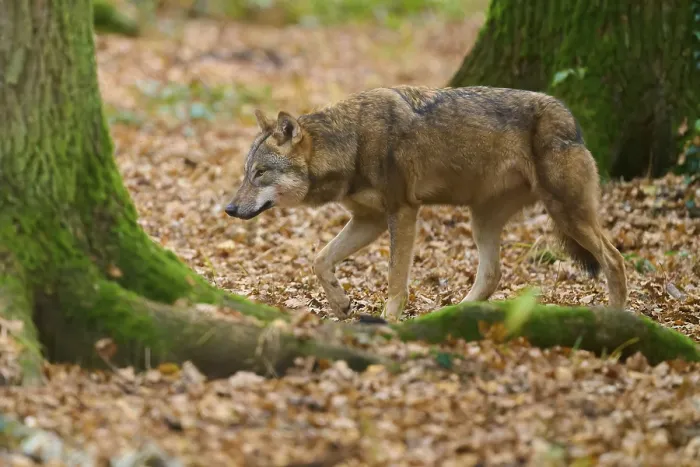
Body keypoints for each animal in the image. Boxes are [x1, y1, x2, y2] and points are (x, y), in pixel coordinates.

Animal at [224, 85, 628, 322]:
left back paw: (618, 320)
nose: (229, 209)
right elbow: (319, 259)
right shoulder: (369, 220)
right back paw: (450, 317)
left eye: (260, 173)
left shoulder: (402, 212)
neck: (351, 143)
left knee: (614, 258)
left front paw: (387, 321)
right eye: (246, 173)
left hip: (566, 213)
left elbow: (394, 278)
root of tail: (570, 118)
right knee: (492, 274)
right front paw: (341, 304)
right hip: (482, 219)